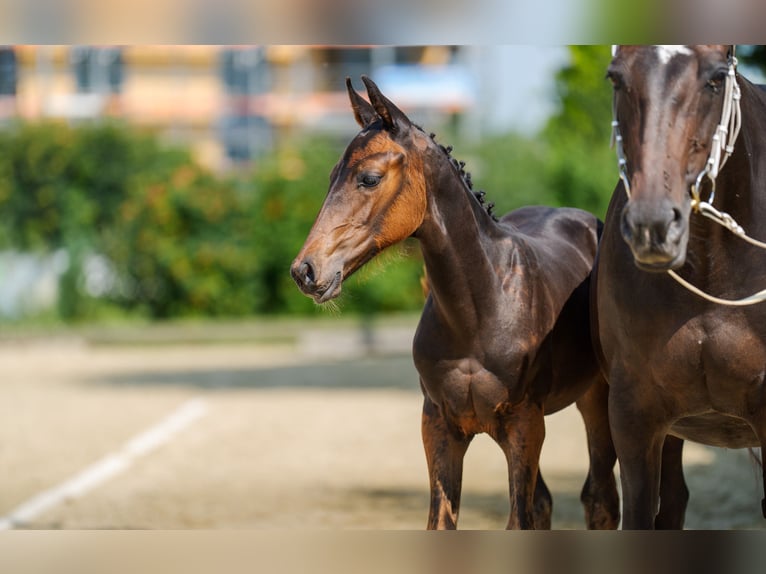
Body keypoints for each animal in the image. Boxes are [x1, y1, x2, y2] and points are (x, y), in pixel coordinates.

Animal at [292, 76, 620, 532]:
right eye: (330, 176)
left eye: (369, 178)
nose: (305, 270)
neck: (481, 308)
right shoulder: (439, 427)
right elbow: (443, 521)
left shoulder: (524, 424)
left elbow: (519, 519)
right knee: (546, 503)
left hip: (596, 397)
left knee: (600, 499)